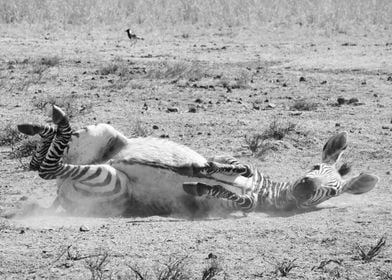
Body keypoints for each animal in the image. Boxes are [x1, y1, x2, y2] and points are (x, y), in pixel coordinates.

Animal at [16, 105, 378, 217]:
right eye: (315, 167)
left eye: (332, 192)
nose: (304, 187)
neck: (266, 192)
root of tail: (59, 196)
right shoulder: (231, 158)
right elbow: (236, 165)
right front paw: (201, 169)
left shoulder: (221, 207)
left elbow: (241, 201)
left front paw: (198, 184)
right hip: (104, 135)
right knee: (42, 160)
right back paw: (39, 125)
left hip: (111, 185)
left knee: (46, 168)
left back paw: (48, 127)